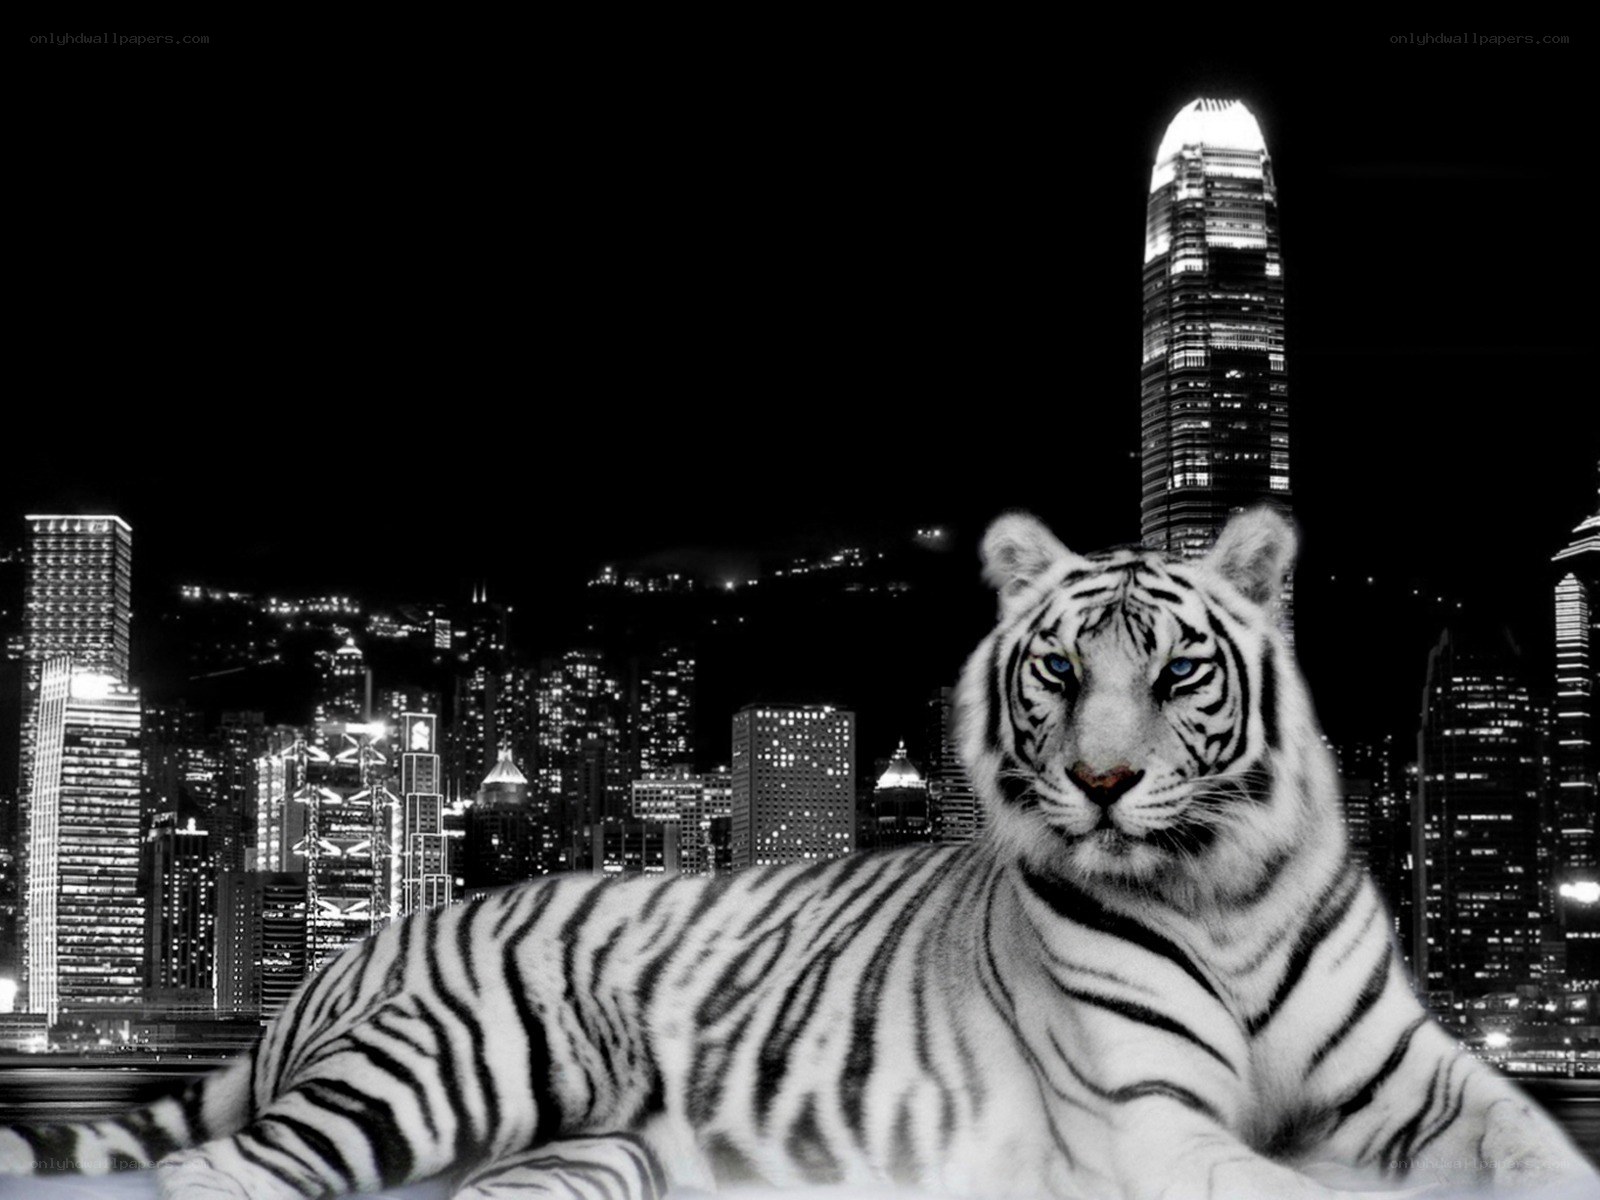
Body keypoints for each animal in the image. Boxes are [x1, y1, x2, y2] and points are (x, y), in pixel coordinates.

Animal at [2, 507, 1595, 1200]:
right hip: (455, 1066)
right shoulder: (1148, 1119)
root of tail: (362, 944)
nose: (1099, 784)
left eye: (1176, 672)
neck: (1225, 891)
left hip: (599, 1153)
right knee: (217, 1178)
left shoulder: (1435, 1084)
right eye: (1058, 672)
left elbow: (1540, 1151)